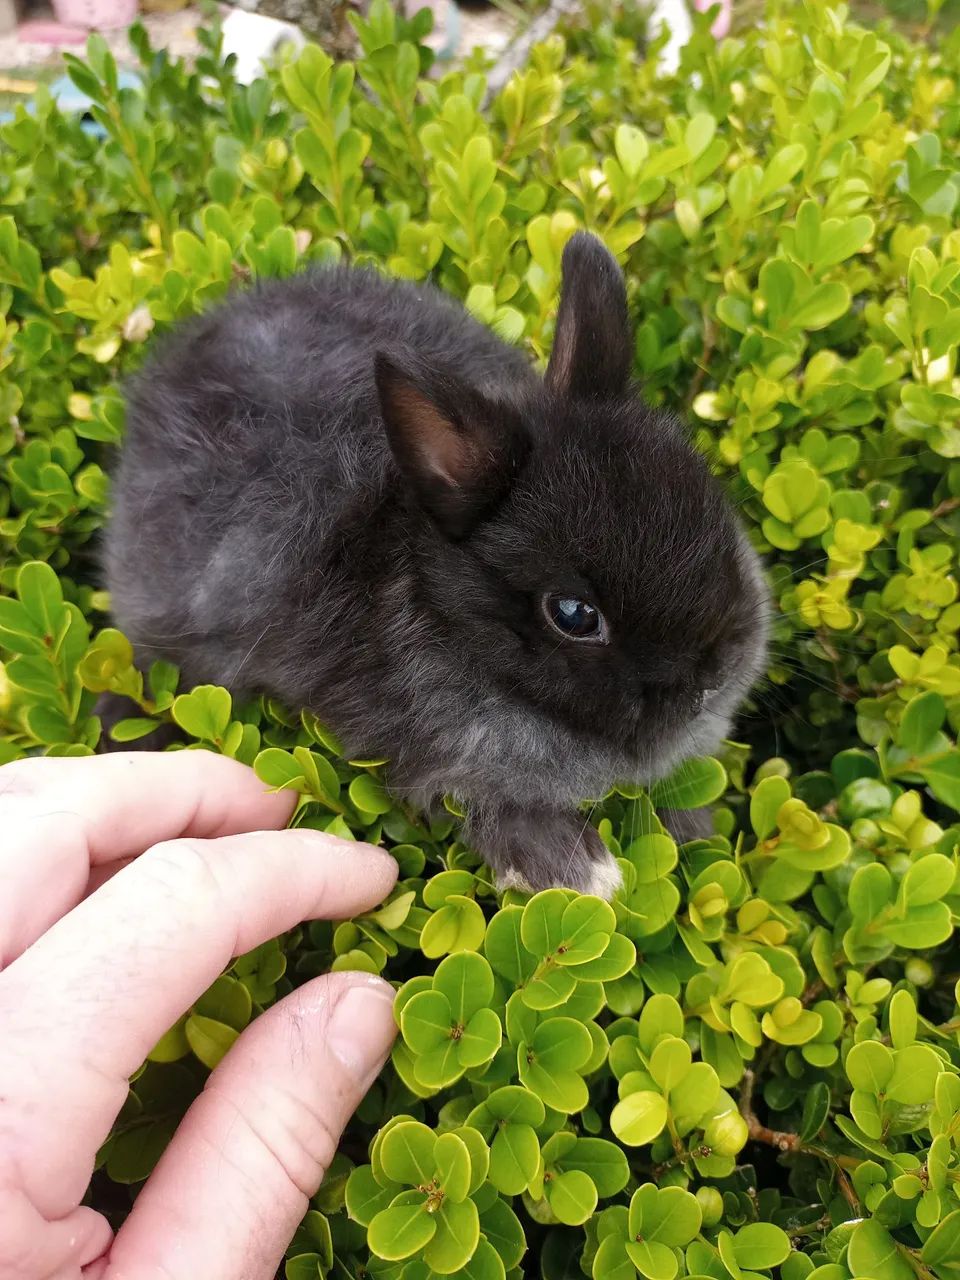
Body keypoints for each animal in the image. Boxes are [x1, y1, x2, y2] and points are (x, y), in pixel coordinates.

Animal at [103, 232, 769, 898]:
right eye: (574, 614)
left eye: (717, 515)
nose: (710, 684)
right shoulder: (434, 759)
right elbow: (479, 800)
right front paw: (577, 872)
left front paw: (692, 830)